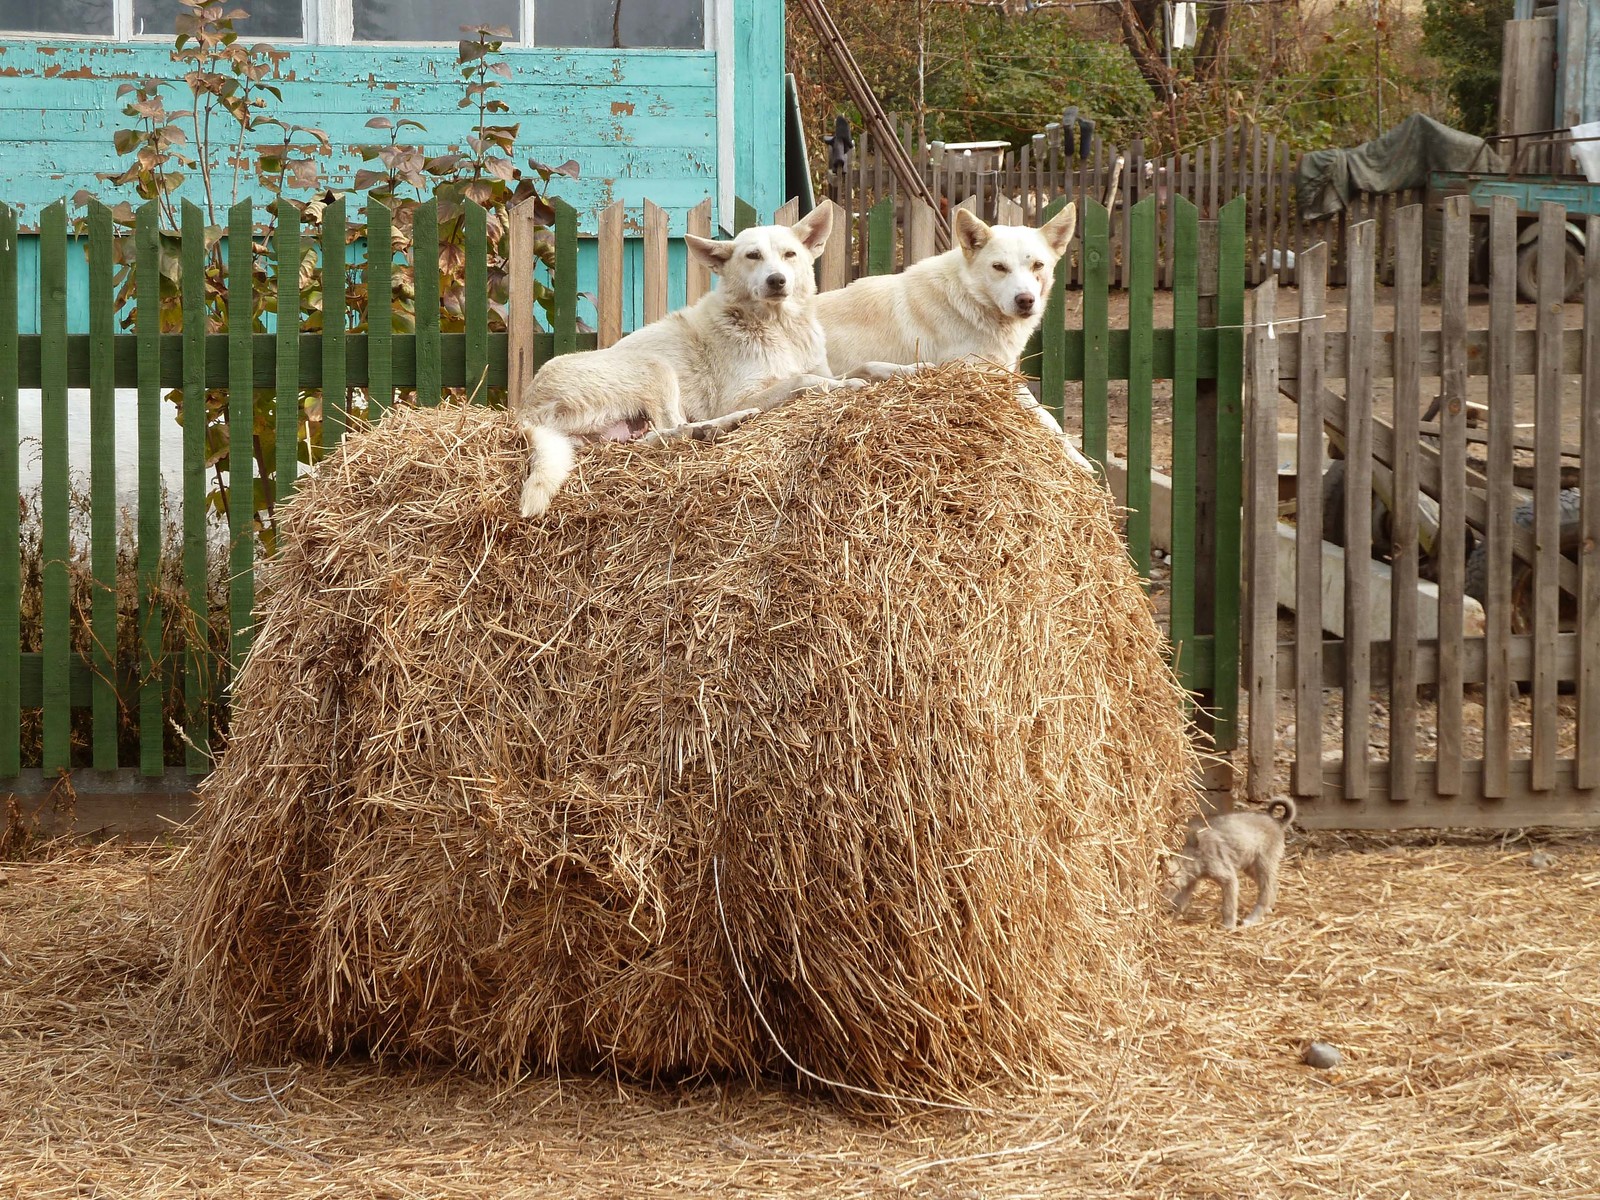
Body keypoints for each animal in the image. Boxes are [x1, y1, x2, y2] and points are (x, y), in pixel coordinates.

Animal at [515, 206, 851, 518]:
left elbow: (830, 373)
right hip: (656, 368)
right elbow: (802, 380)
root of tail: (525, 410)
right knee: (671, 427)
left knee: (653, 438)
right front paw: (846, 385)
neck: (780, 328)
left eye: (789, 254)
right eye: (753, 256)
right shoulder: (739, 397)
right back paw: (724, 424)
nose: (777, 280)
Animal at [1171, 803, 1292, 934]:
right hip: (1251, 866)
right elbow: (1179, 902)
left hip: (1264, 863)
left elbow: (1228, 906)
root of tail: (1277, 822)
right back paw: (1269, 909)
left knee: (1266, 892)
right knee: (1274, 885)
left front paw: (1228, 926)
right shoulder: (1190, 882)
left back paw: (1252, 919)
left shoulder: (1229, 879)